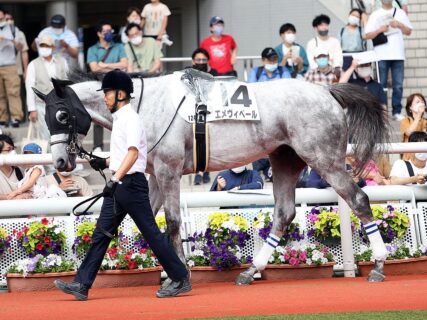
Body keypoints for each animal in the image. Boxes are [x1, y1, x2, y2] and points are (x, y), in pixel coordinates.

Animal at [36, 70, 392, 284]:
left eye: (62, 115)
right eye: (45, 118)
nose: (60, 161)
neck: (145, 106)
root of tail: (328, 91)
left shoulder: (168, 170)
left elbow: (171, 221)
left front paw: (179, 273)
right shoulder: (153, 175)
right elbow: (141, 219)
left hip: (323, 159)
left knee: (358, 199)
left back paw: (377, 265)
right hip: (285, 160)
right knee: (284, 212)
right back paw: (251, 270)